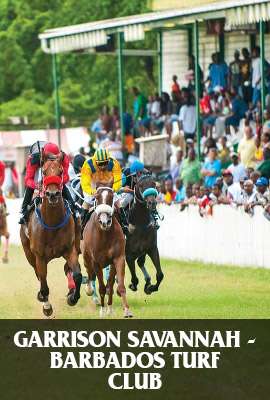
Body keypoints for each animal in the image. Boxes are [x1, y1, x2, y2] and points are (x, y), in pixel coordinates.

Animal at [20, 153, 81, 316]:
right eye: (44, 171)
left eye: (60, 172)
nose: (52, 194)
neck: (52, 223)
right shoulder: (39, 257)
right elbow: (44, 283)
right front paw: (47, 307)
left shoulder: (70, 250)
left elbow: (77, 274)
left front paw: (73, 297)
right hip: (29, 254)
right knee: (39, 276)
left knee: (68, 269)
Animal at [82, 184, 133, 318]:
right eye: (97, 197)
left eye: (111, 198)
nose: (104, 222)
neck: (104, 234)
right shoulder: (96, 262)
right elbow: (101, 287)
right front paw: (103, 310)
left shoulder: (118, 258)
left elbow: (115, 285)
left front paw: (125, 310)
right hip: (86, 256)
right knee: (89, 273)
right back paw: (89, 290)